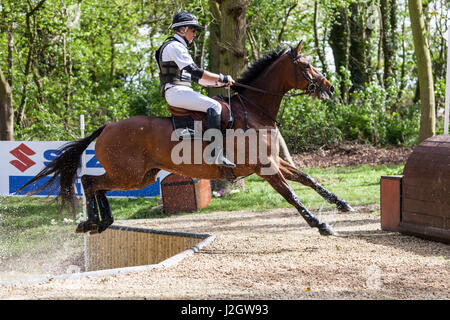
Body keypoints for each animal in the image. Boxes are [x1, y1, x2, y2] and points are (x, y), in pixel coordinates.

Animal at [17, 40, 354, 235]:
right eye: (306, 65)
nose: (330, 87)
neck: (255, 109)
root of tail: (108, 126)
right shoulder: (265, 167)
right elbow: (291, 194)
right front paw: (320, 224)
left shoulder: (273, 162)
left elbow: (308, 179)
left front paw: (341, 204)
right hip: (129, 175)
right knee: (89, 182)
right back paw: (92, 222)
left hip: (138, 177)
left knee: (95, 185)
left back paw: (101, 222)